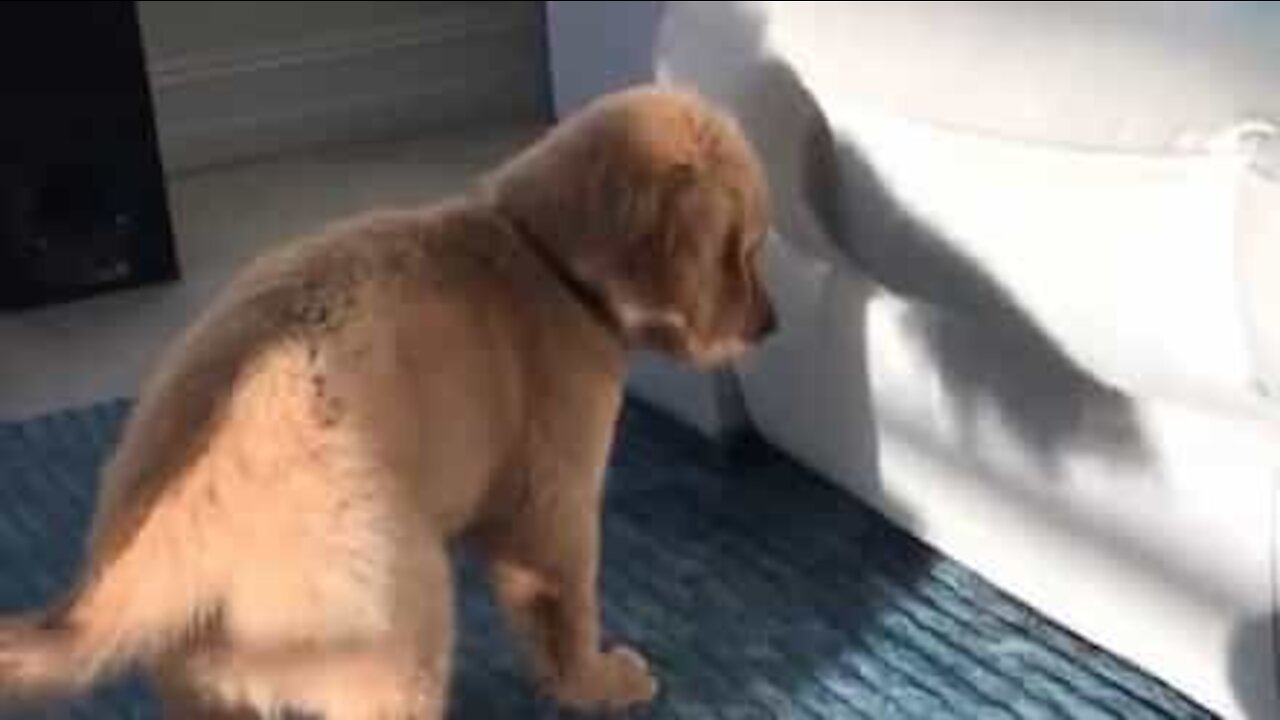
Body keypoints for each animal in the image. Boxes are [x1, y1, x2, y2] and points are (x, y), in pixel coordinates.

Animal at [0, 81, 773, 712]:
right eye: (740, 250)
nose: (773, 325)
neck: (542, 252)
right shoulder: (552, 506)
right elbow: (565, 610)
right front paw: (599, 682)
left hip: (211, 681)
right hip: (402, 617)